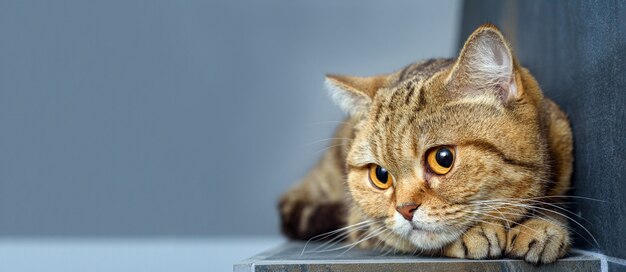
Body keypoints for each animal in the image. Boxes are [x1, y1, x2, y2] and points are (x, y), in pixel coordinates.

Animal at [278, 23, 572, 264]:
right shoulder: (362, 224)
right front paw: (474, 235)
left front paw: (542, 226)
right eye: (380, 175)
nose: (405, 210)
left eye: (443, 159)